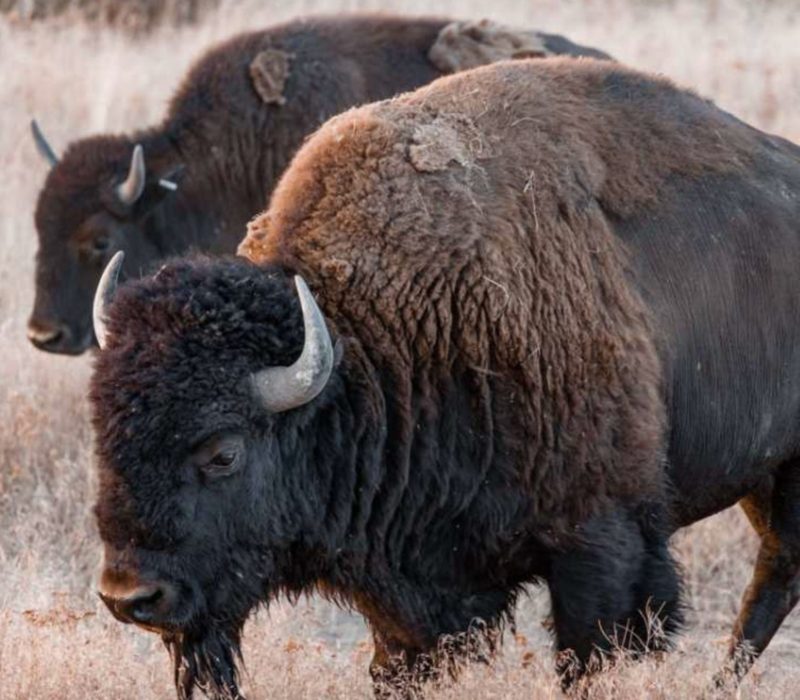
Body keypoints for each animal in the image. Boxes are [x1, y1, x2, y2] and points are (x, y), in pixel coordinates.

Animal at [90, 57, 800, 697]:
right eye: (105, 436)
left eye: (224, 452)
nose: (130, 596)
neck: (372, 343)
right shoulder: (411, 599)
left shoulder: (604, 541)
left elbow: (590, 654)